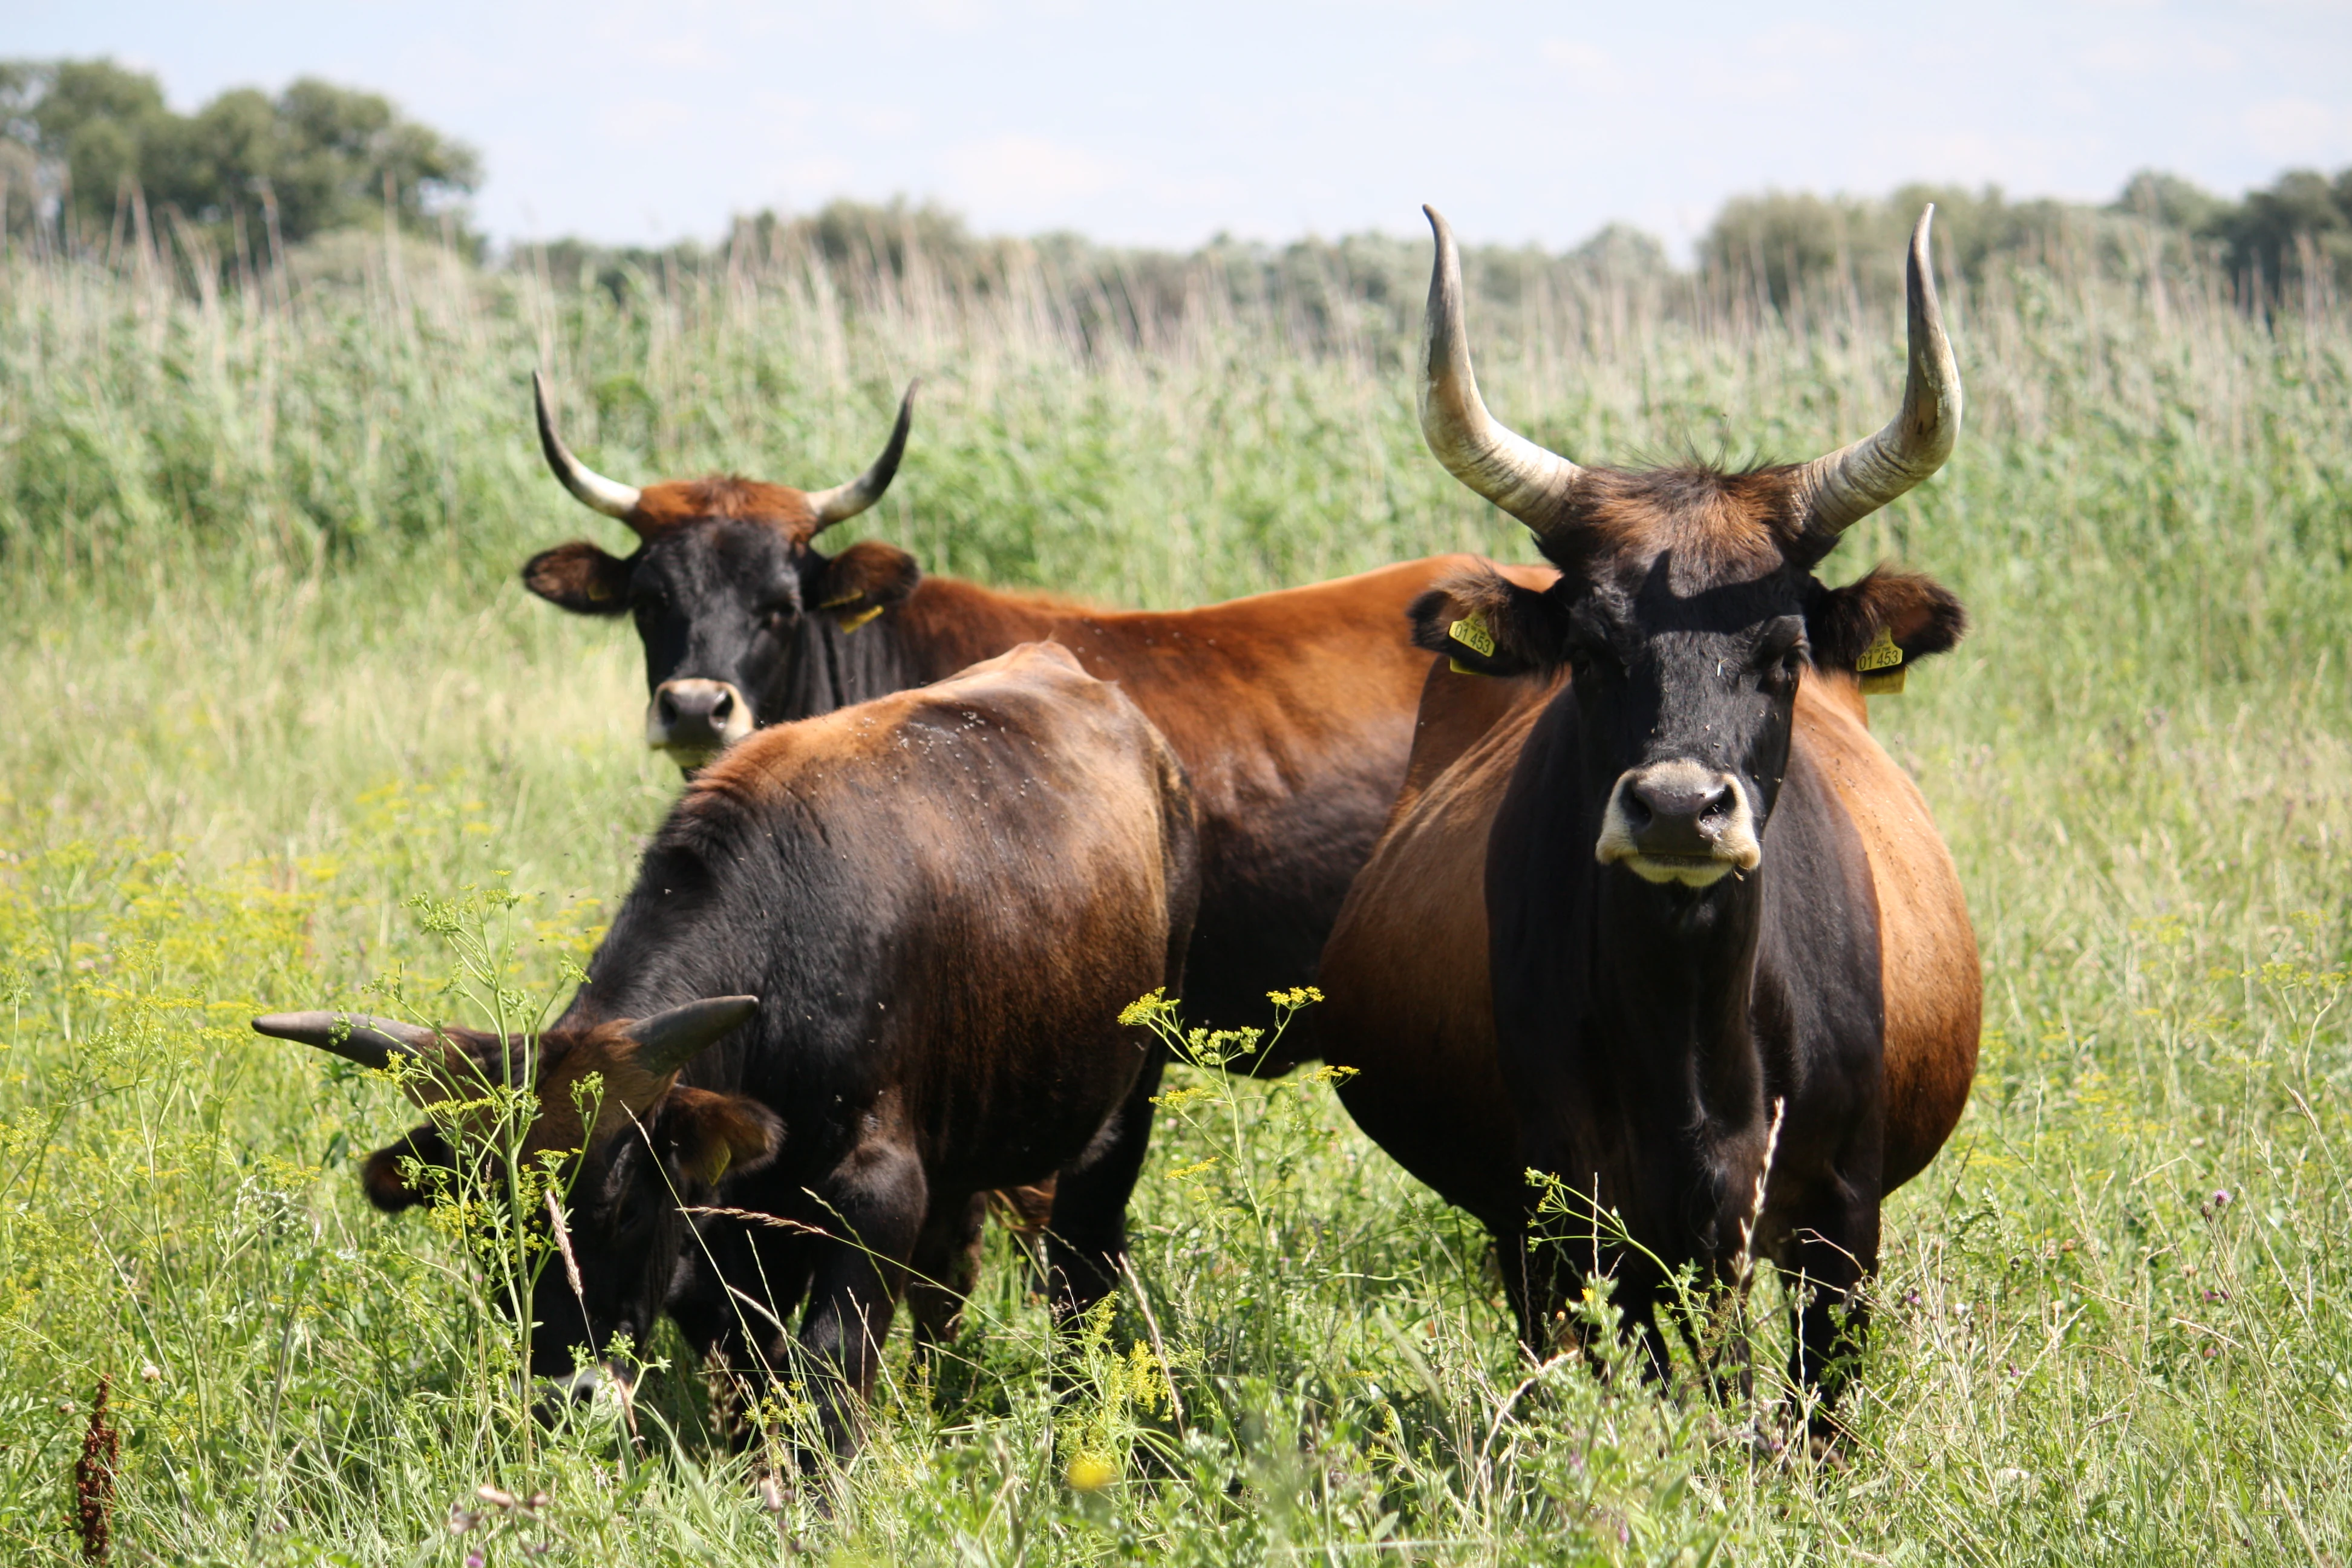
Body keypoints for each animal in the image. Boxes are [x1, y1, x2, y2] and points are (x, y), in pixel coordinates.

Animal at [254, 642, 1199, 1457]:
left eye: (625, 1208)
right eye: (487, 1217)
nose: (566, 1399)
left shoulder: (879, 1192)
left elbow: (827, 1369)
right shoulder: (726, 1248)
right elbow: (749, 1379)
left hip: (1125, 1103)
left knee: (1081, 1263)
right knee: (951, 1279)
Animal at [1316, 206, 1981, 1438]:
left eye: (1783, 655)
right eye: (1588, 651)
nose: (1677, 807)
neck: (1691, 1037)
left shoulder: (1839, 1225)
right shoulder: (1565, 1227)